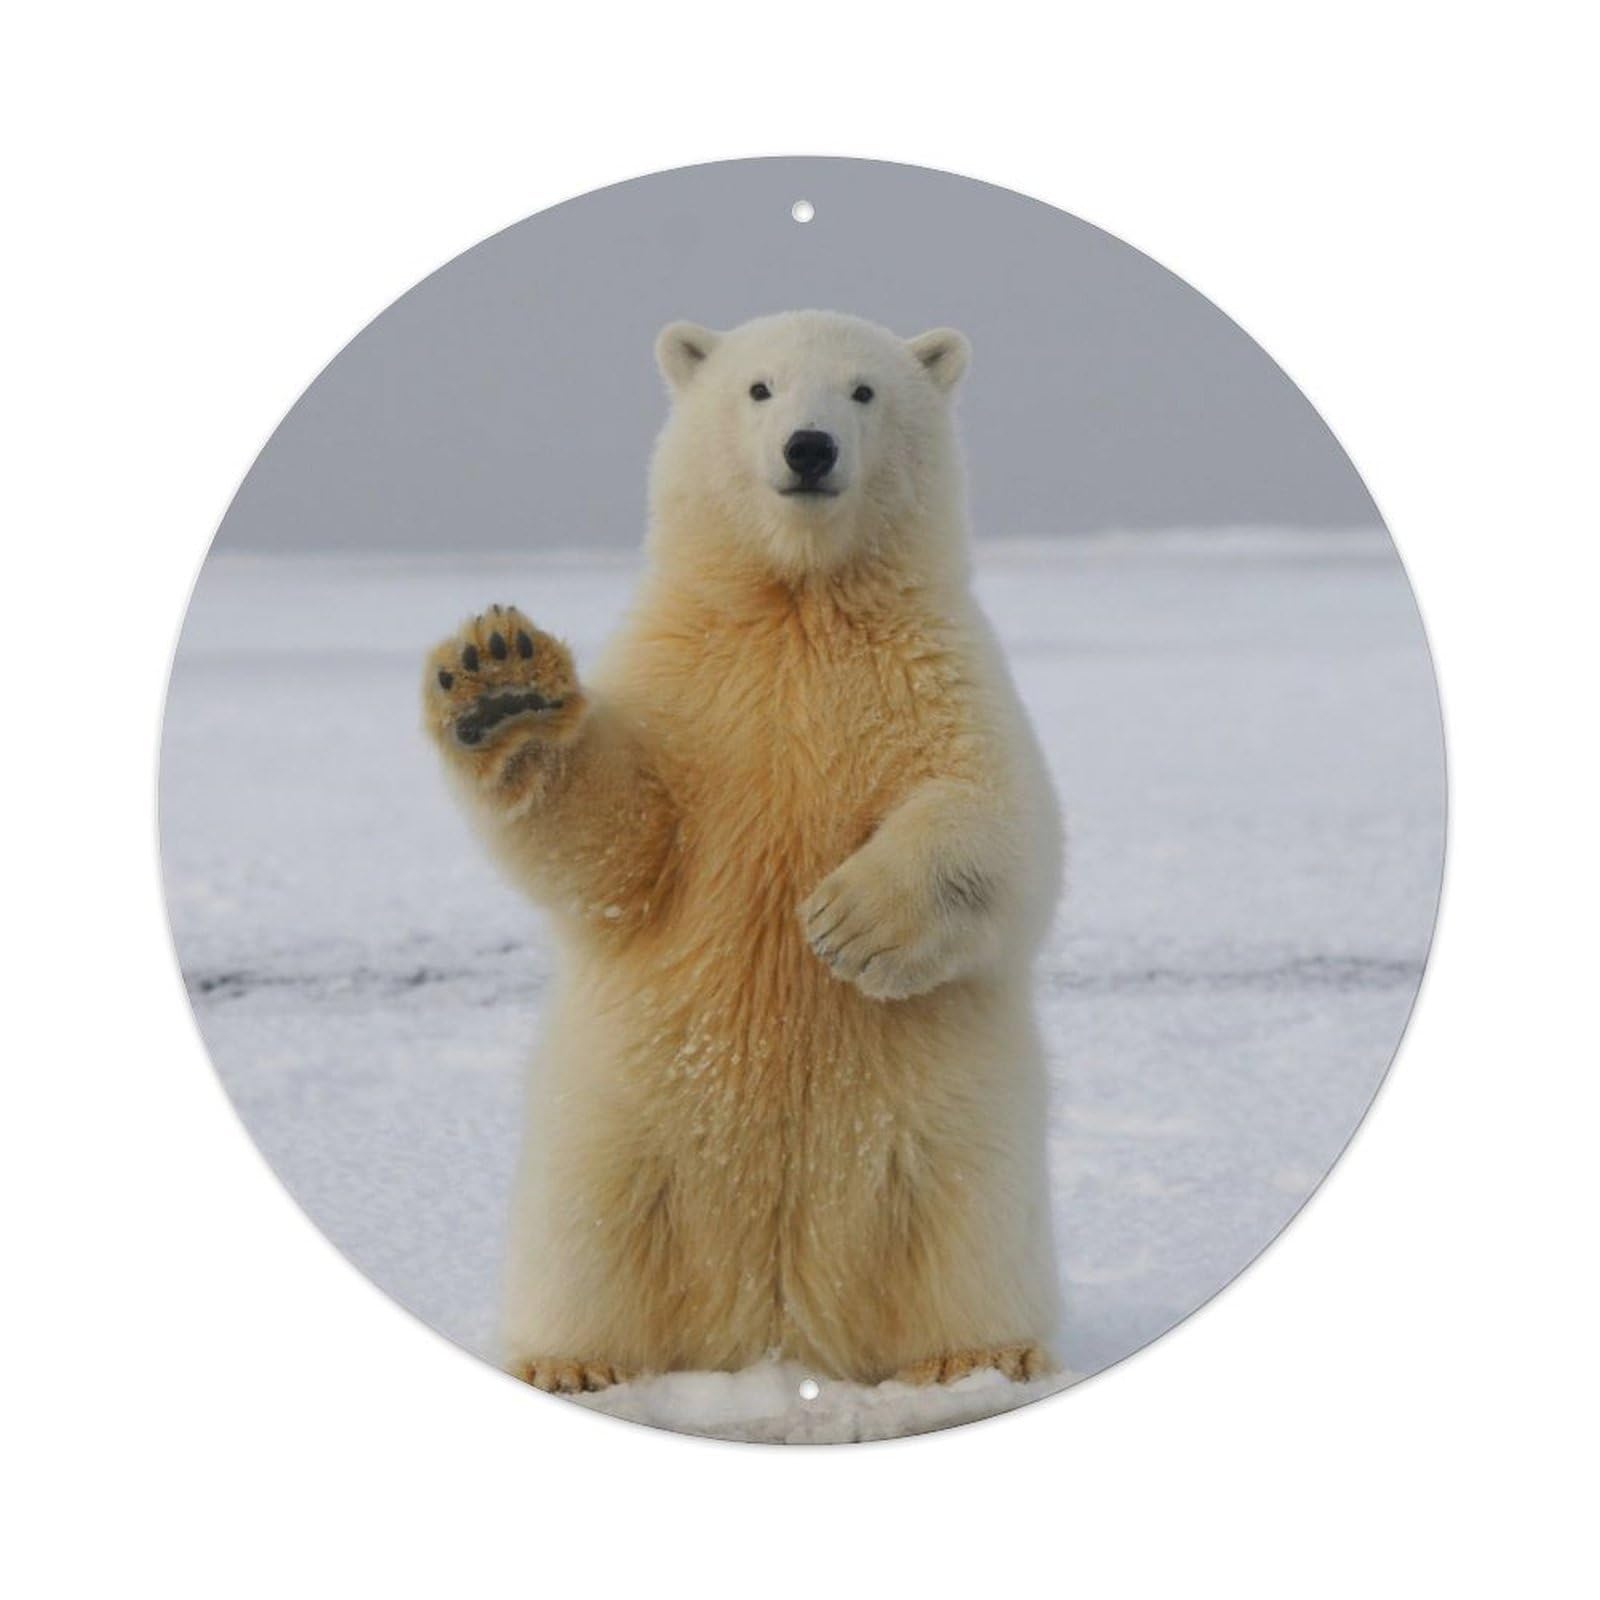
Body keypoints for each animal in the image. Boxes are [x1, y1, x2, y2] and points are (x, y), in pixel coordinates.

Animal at [422, 309, 1064, 1394]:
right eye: (758, 388)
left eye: (863, 391)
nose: (809, 449)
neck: (798, 601)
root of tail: (774, 1328)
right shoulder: (690, 685)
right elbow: (621, 846)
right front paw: (501, 684)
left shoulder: (937, 670)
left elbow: (1000, 820)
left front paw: (849, 923)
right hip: (616, 1125)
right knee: (588, 1234)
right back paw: (571, 1363)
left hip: (951, 1132)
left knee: (965, 1230)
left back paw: (979, 1354)